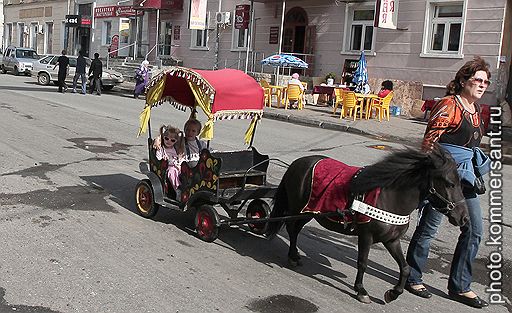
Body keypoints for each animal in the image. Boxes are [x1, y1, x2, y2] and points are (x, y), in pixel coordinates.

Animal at [266, 145, 470, 304]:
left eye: (461, 184)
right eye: (450, 184)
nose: (464, 218)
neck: (390, 198)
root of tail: (297, 163)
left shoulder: (392, 240)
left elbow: (405, 267)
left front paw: (393, 293)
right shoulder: (366, 236)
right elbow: (362, 263)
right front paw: (361, 290)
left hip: (309, 211)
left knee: (296, 229)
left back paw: (295, 255)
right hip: (296, 208)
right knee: (291, 229)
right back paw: (292, 256)